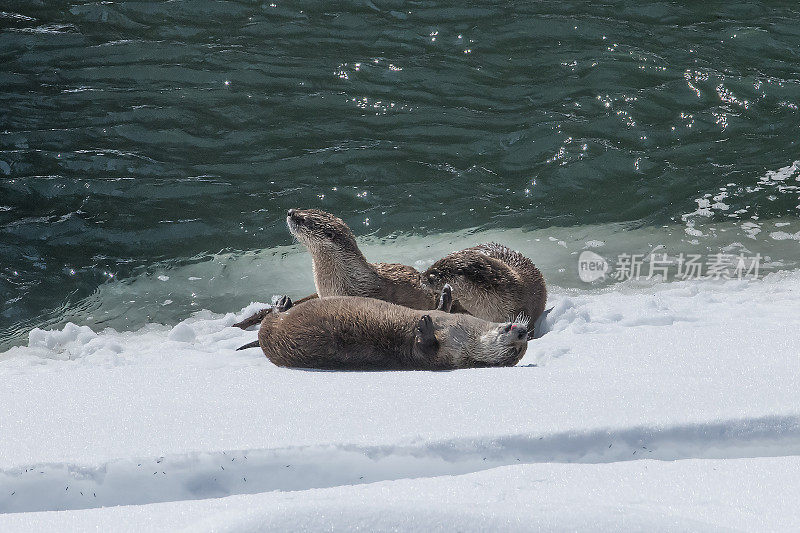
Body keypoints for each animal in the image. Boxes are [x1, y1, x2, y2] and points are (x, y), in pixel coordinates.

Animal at [253, 284, 528, 368]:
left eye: (516, 351)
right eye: (520, 345)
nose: (523, 332)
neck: (461, 333)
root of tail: (266, 338)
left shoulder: (446, 357)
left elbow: (422, 352)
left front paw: (424, 327)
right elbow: (442, 309)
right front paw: (445, 297)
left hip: (273, 328)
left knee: (270, 320)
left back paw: (280, 307)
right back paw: (283, 303)